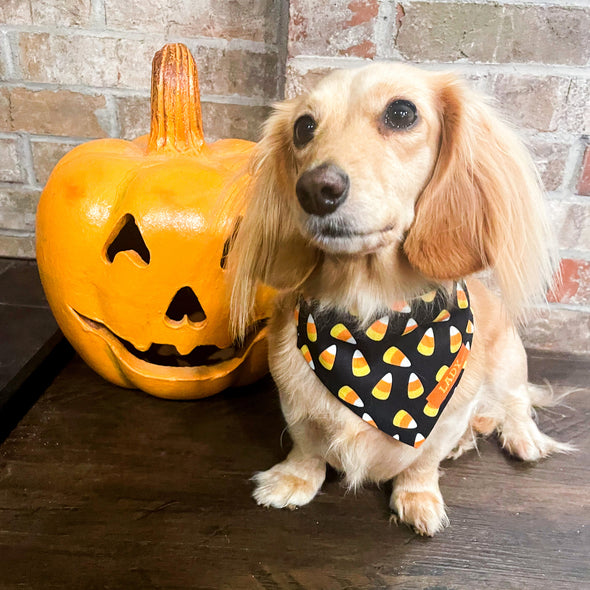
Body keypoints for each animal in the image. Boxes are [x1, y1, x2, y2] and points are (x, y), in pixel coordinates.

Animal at [230, 62, 572, 540]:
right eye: (303, 127)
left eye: (401, 113)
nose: (314, 189)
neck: (369, 317)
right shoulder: (294, 402)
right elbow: (307, 445)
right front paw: (293, 480)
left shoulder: (446, 416)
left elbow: (423, 461)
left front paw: (418, 498)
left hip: (509, 360)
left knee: (516, 403)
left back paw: (523, 438)